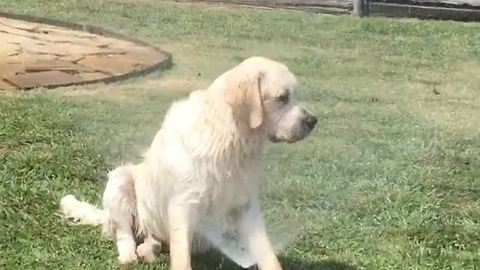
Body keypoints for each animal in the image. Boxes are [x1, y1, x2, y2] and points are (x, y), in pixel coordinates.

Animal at [59, 56, 316, 270]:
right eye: (282, 98)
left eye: (295, 96)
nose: (313, 121)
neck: (230, 136)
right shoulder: (183, 204)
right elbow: (181, 257)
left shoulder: (245, 205)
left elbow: (266, 253)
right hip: (121, 180)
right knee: (124, 234)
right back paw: (129, 255)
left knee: (155, 241)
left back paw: (147, 250)